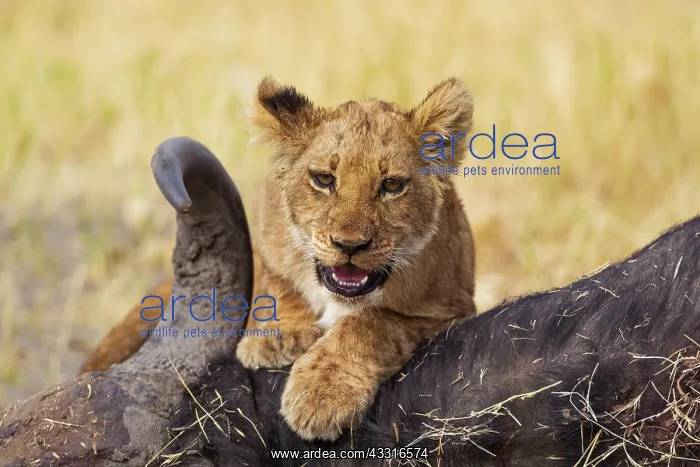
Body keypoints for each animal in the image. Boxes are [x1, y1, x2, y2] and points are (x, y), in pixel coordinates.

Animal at [80, 76, 478, 441]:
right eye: (324, 179)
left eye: (392, 185)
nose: (349, 245)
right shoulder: (268, 239)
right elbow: (280, 284)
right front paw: (279, 335)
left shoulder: (451, 309)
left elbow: (371, 323)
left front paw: (321, 394)